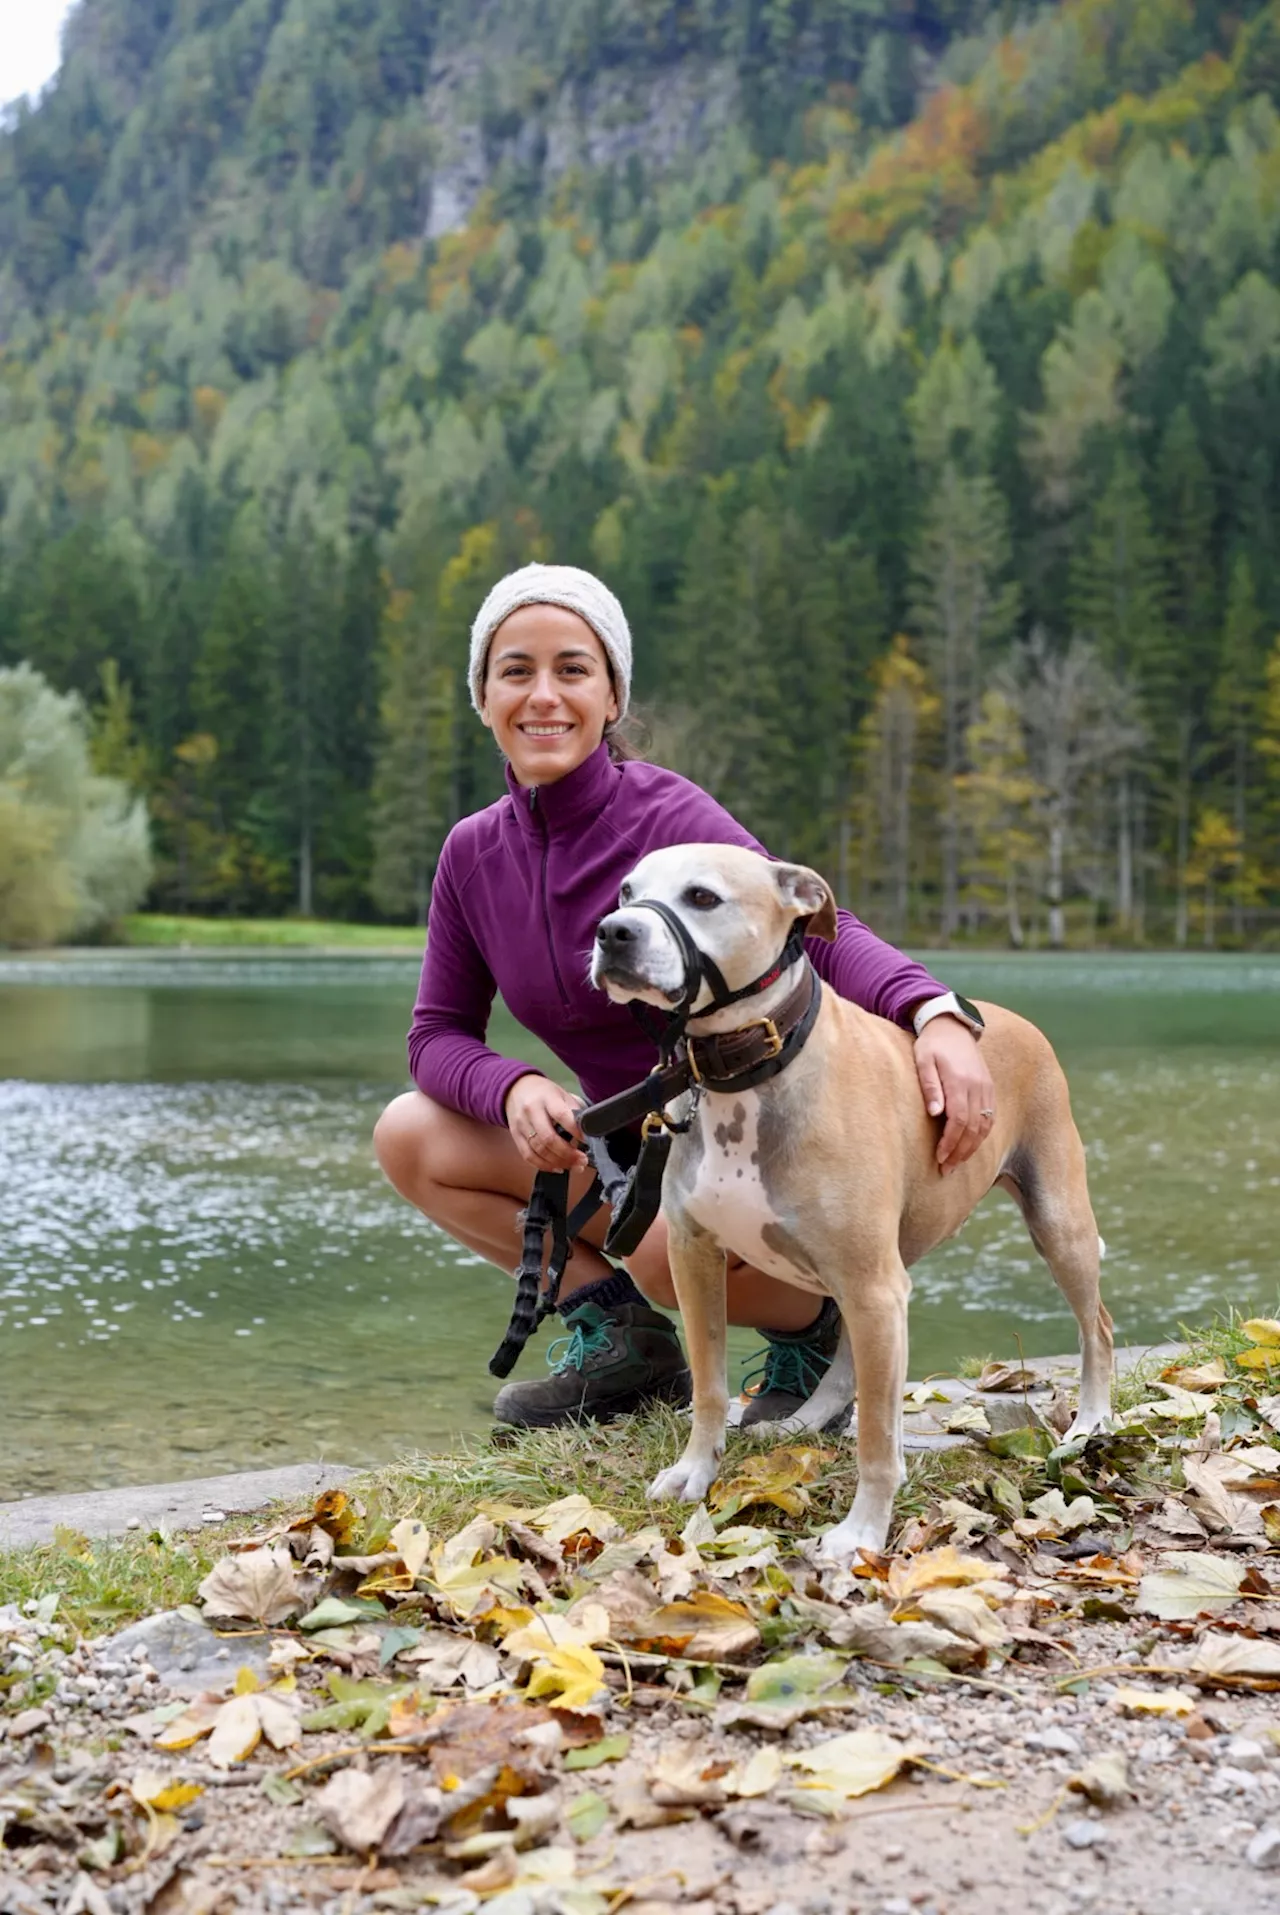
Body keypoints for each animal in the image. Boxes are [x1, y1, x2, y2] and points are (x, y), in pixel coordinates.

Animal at [590, 846, 1111, 1562]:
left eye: (702, 897)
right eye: (625, 890)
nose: (613, 932)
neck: (749, 1069)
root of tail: (1014, 1019)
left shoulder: (873, 1287)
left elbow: (877, 1439)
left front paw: (863, 1530)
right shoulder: (694, 1256)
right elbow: (709, 1384)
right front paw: (695, 1471)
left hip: (1053, 1227)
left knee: (1098, 1328)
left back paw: (1090, 1423)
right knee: (842, 1366)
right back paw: (802, 1421)